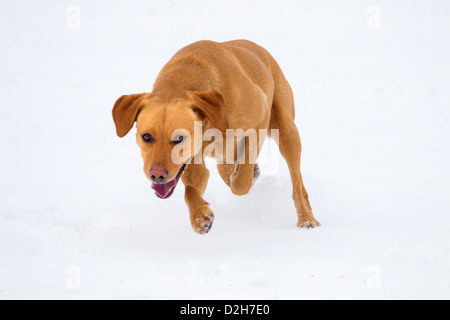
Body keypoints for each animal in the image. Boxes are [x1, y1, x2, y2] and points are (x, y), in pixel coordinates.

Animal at [114, 40, 322, 235]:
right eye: (146, 137)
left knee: (297, 183)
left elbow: (241, 183)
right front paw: (199, 216)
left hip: (286, 130)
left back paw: (306, 218)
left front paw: (246, 177)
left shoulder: (260, 119)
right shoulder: (192, 162)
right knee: (226, 169)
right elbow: (191, 190)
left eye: (179, 138)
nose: (157, 175)